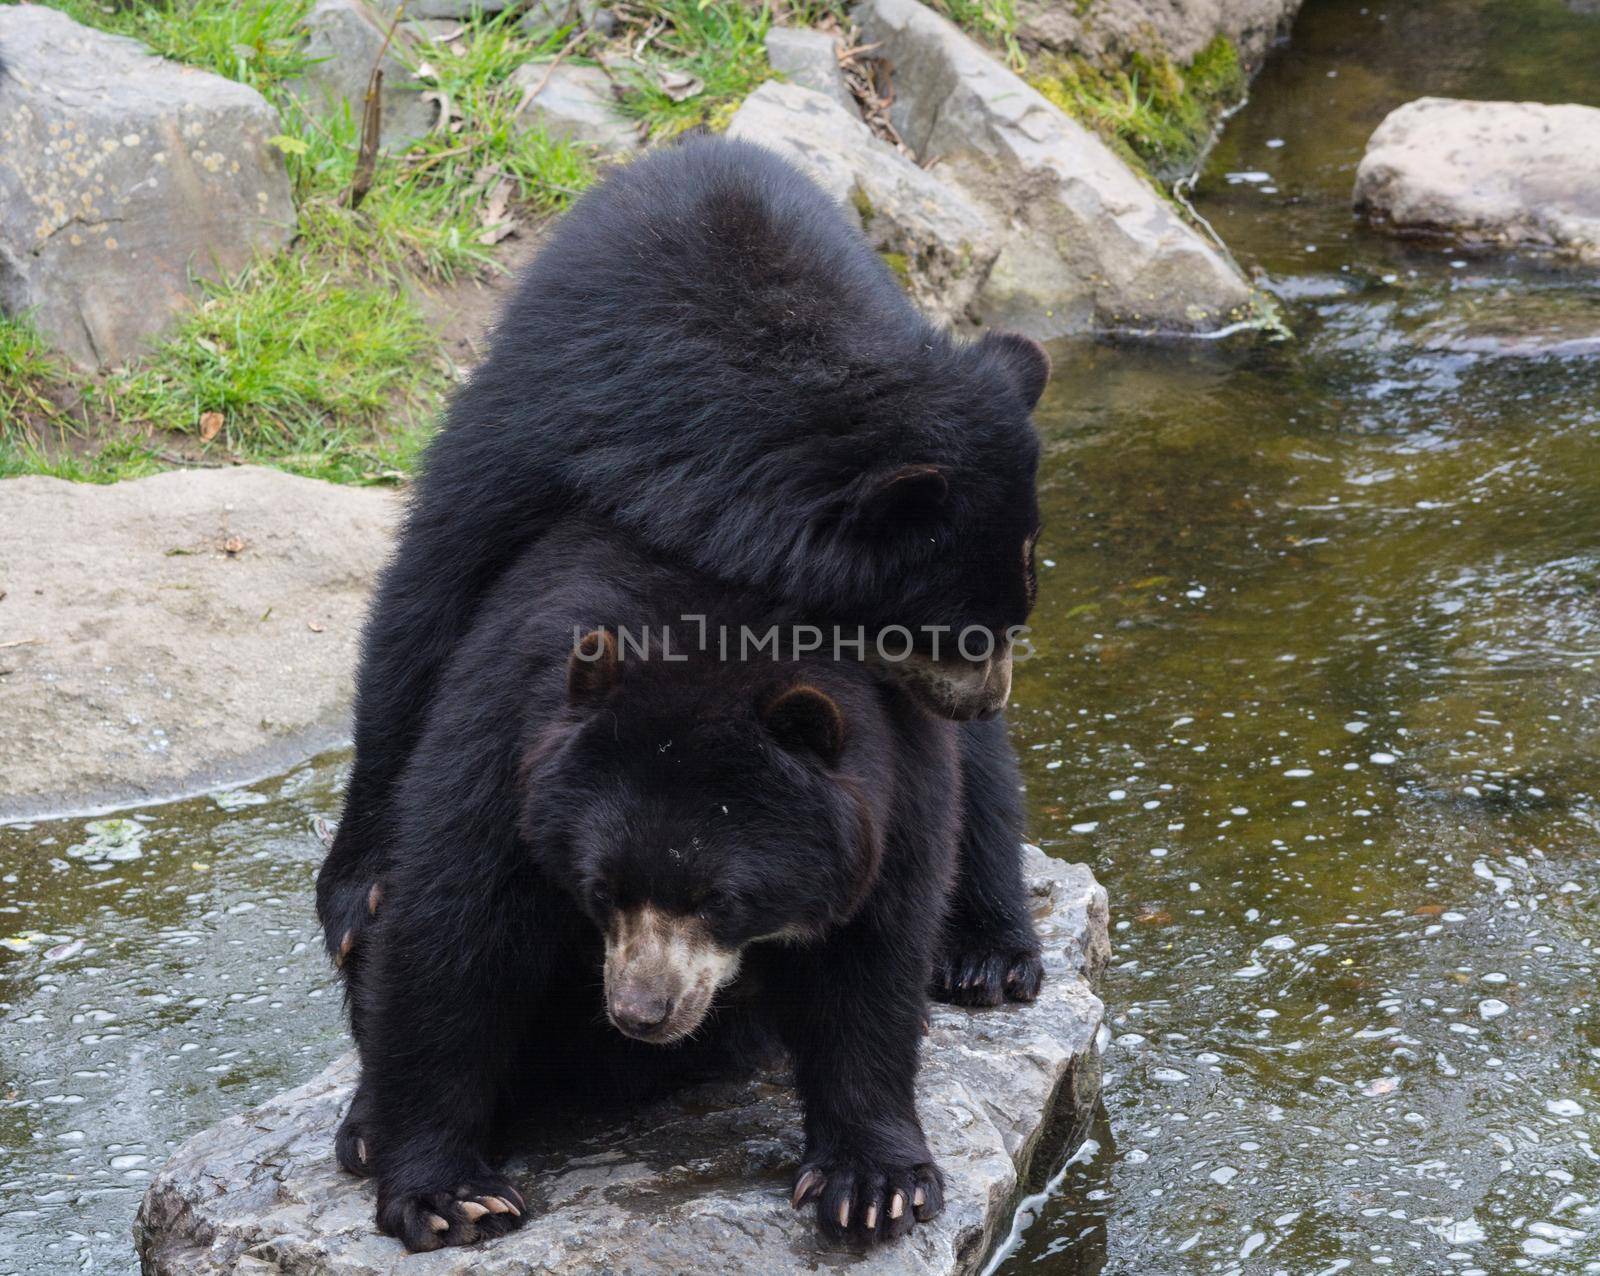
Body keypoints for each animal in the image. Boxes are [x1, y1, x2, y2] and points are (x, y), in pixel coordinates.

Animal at [336, 524, 972, 1253]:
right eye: (601, 890)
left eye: (720, 900)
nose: (640, 1013)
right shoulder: (508, 737)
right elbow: (454, 934)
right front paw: (453, 1198)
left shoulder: (898, 775)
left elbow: (870, 954)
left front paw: (873, 1189)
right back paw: (366, 1129)